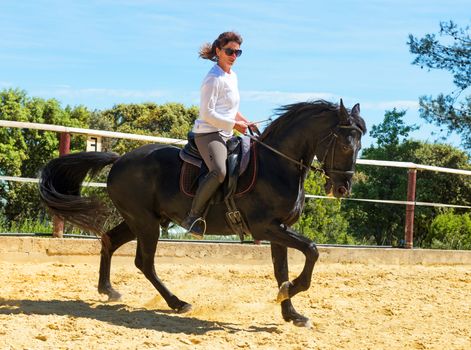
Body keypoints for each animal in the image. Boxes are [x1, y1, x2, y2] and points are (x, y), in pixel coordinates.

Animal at [38, 99, 366, 328]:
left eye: (360, 146)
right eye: (344, 144)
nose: (342, 188)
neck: (276, 165)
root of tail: (119, 160)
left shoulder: (278, 230)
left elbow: (281, 271)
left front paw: (291, 311)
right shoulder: (267, 228)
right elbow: (312, 250)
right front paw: (292, 292)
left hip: (141, 220)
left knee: (109, 240)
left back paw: (108, 290)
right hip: (145, 224)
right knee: (144, 262)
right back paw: (177, 303)